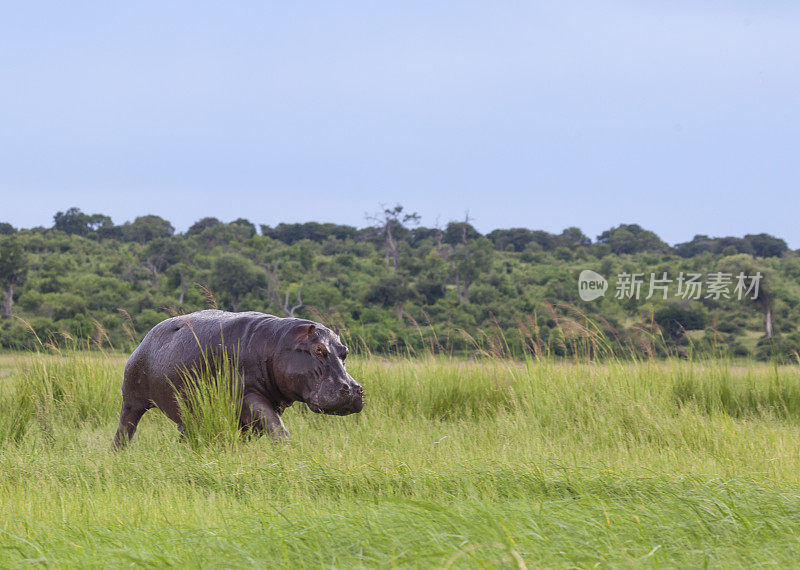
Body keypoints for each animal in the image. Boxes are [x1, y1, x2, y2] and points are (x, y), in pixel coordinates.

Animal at [112, 308, 362, 446]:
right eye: (318, 349)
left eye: (346, 351)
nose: (352, 389)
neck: (278, 344)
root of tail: (146, 336)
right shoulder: (248, 396)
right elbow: (274, 425)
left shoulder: (272, 403)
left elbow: (259, 428)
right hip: (132, 399)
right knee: (125, 428)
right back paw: (119, 453)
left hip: (189, 410)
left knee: (186, 432)